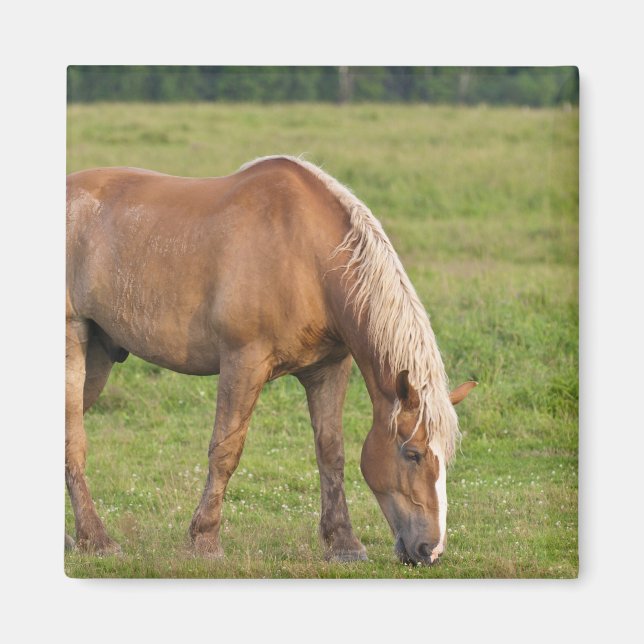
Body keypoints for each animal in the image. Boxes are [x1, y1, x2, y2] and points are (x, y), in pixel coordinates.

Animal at [66, 155, 476, 565]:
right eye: (413, 454)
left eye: (447, 456)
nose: (431, 550)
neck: (307, 256)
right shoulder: (243, 362)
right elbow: (225, 451)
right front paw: (205, 539)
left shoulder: (328, 369)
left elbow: (331, 452)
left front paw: (343, 542)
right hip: (73, 345)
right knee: (73, 439)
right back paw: (96, 539)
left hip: (99, 356)